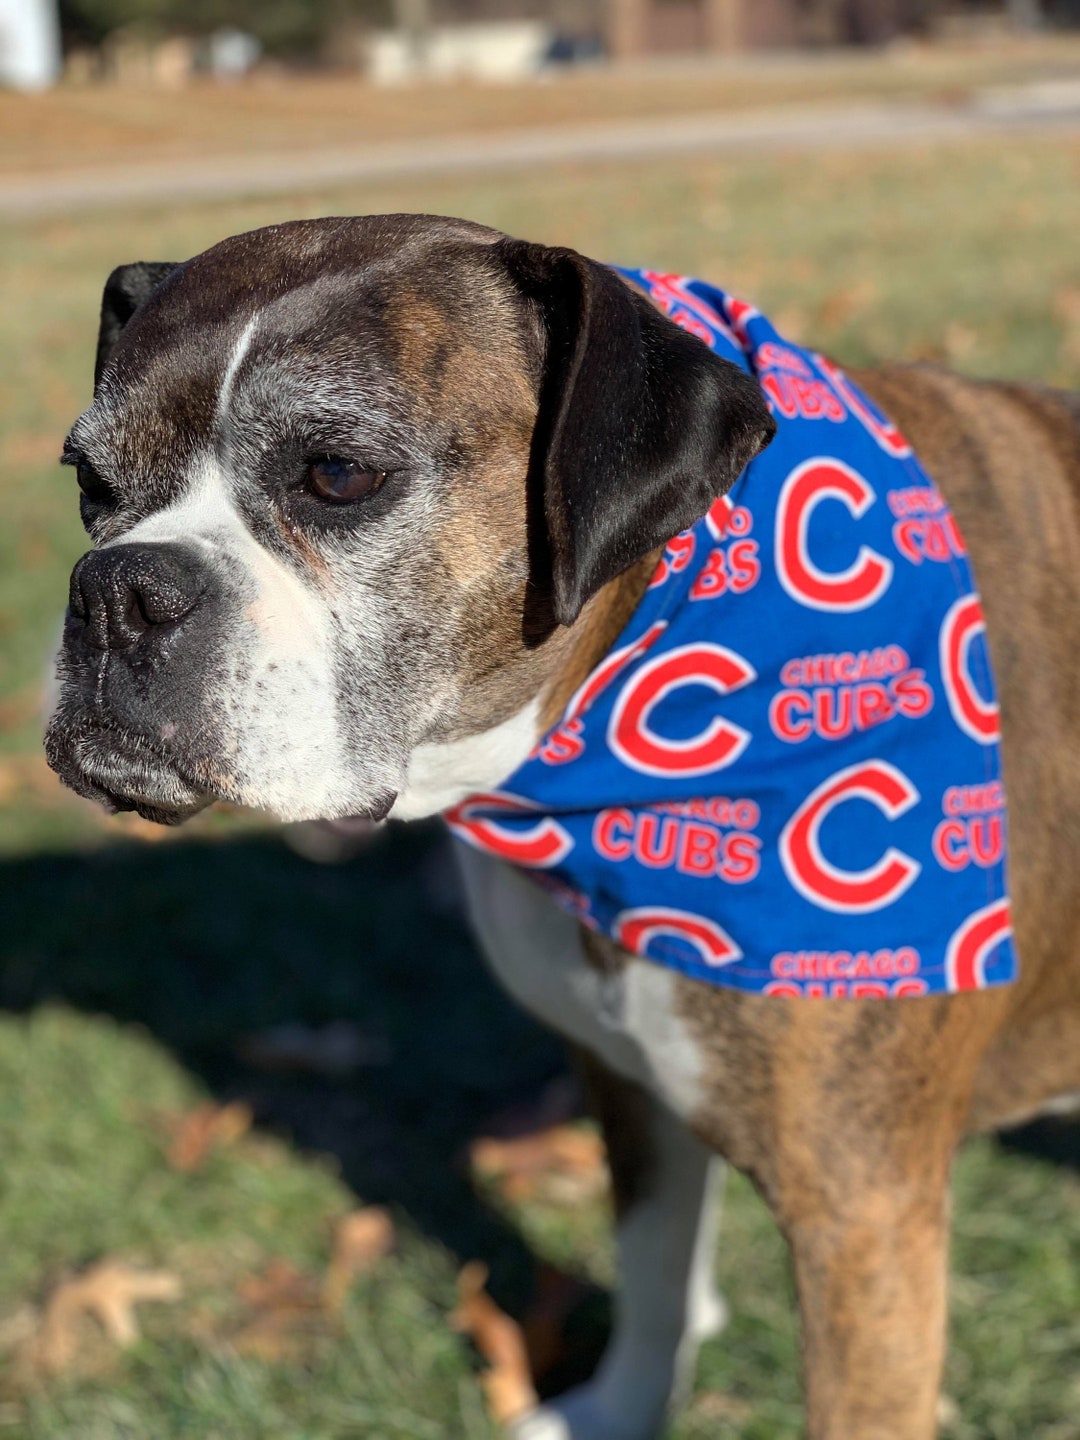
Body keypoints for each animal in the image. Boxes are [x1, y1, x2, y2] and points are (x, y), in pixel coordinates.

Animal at [48, 216, 1080, 1440]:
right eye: (90, 483)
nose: (117, 590)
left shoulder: (862, 1213)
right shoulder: (629, 1089)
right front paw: (620, 1412)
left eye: (338, 475)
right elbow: (654, 1274)